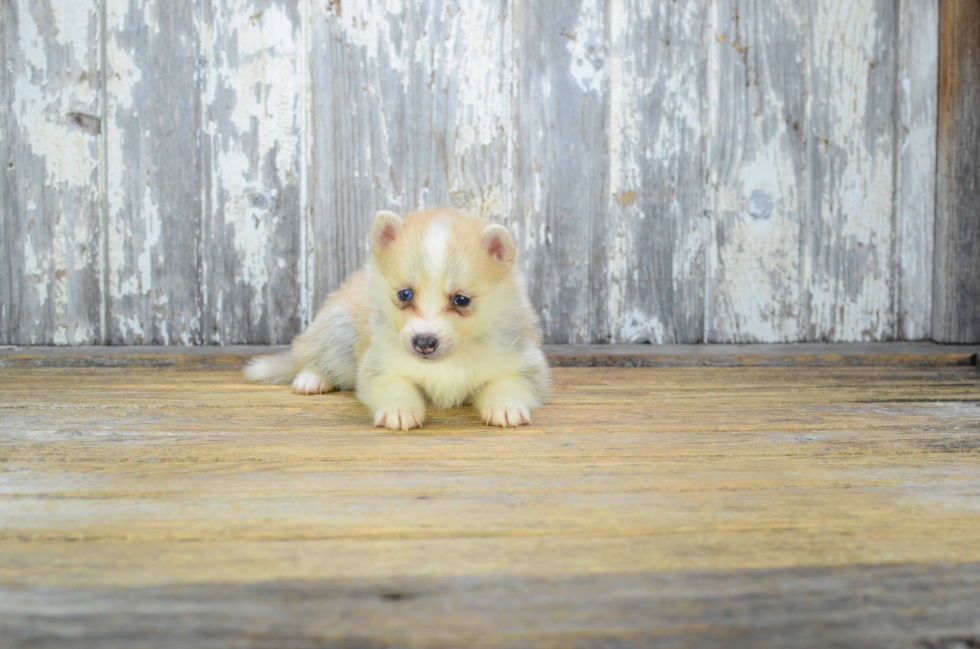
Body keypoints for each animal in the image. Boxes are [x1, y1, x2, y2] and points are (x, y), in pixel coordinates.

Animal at [245, 209, 552, 430]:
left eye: (461, 300)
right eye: (405, 294)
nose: (424, 342)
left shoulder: (524, 367)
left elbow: (506, 385)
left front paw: (506, 407)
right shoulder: (378, 367)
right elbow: (397, 385)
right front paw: (399, 410)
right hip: (338, 329)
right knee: (315, 358)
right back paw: (312, 379)